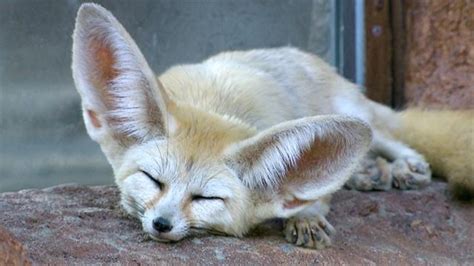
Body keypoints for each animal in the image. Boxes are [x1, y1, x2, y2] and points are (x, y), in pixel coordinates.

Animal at [71, 2, 474, 249]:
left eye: (205, 198)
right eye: (153, 180)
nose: (161, 224)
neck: (215, 102)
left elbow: (310, 196)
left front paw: (306, 217)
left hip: (353, 111)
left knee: (390, 136)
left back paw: (403, 165)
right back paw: (366, 171)